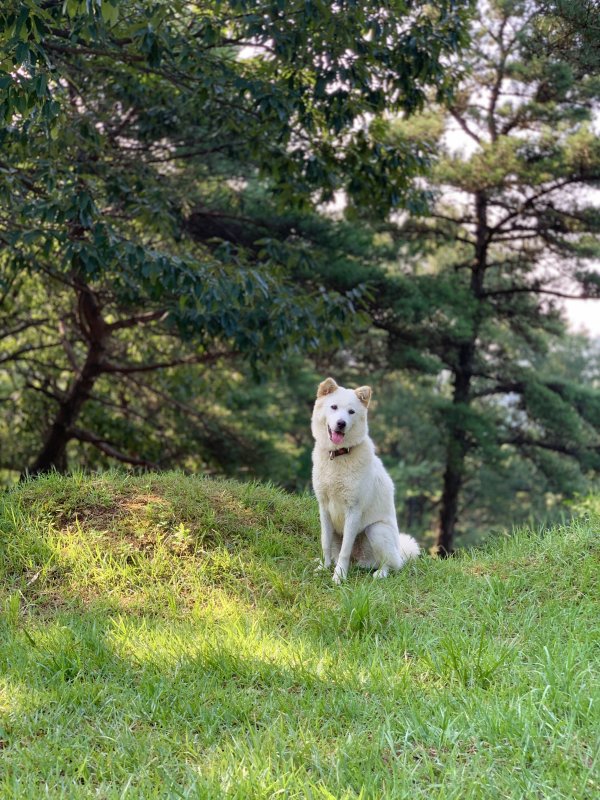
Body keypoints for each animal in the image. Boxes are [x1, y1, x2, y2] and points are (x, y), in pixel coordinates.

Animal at [312, 378, 420, 584]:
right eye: (334, 407)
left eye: (351, 412)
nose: (341, 424)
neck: (338, 456)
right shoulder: (324, 508)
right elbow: (325, 542)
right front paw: (324, 567)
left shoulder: (353, 510)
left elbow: (345, 551)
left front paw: (339, 576)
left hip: (376, 530)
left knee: (391, 565)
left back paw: (380, 574)